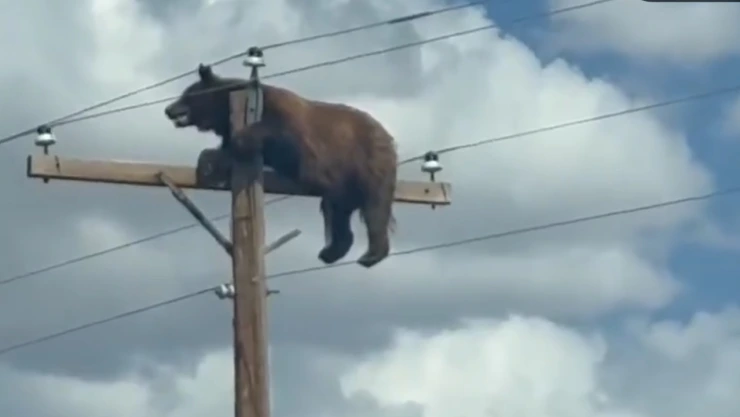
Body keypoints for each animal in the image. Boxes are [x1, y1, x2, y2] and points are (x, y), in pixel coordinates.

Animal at [164, 64, 397, 268]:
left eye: (187, 94)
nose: (168, 109)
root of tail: (387, 135)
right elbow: (224, 152)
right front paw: (207, 164)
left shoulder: (286, 121)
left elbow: (277, 134)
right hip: (342, 182)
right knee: (337, 211)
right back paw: (330, 252)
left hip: (368, 160)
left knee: (375, 206)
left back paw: (371, 254)